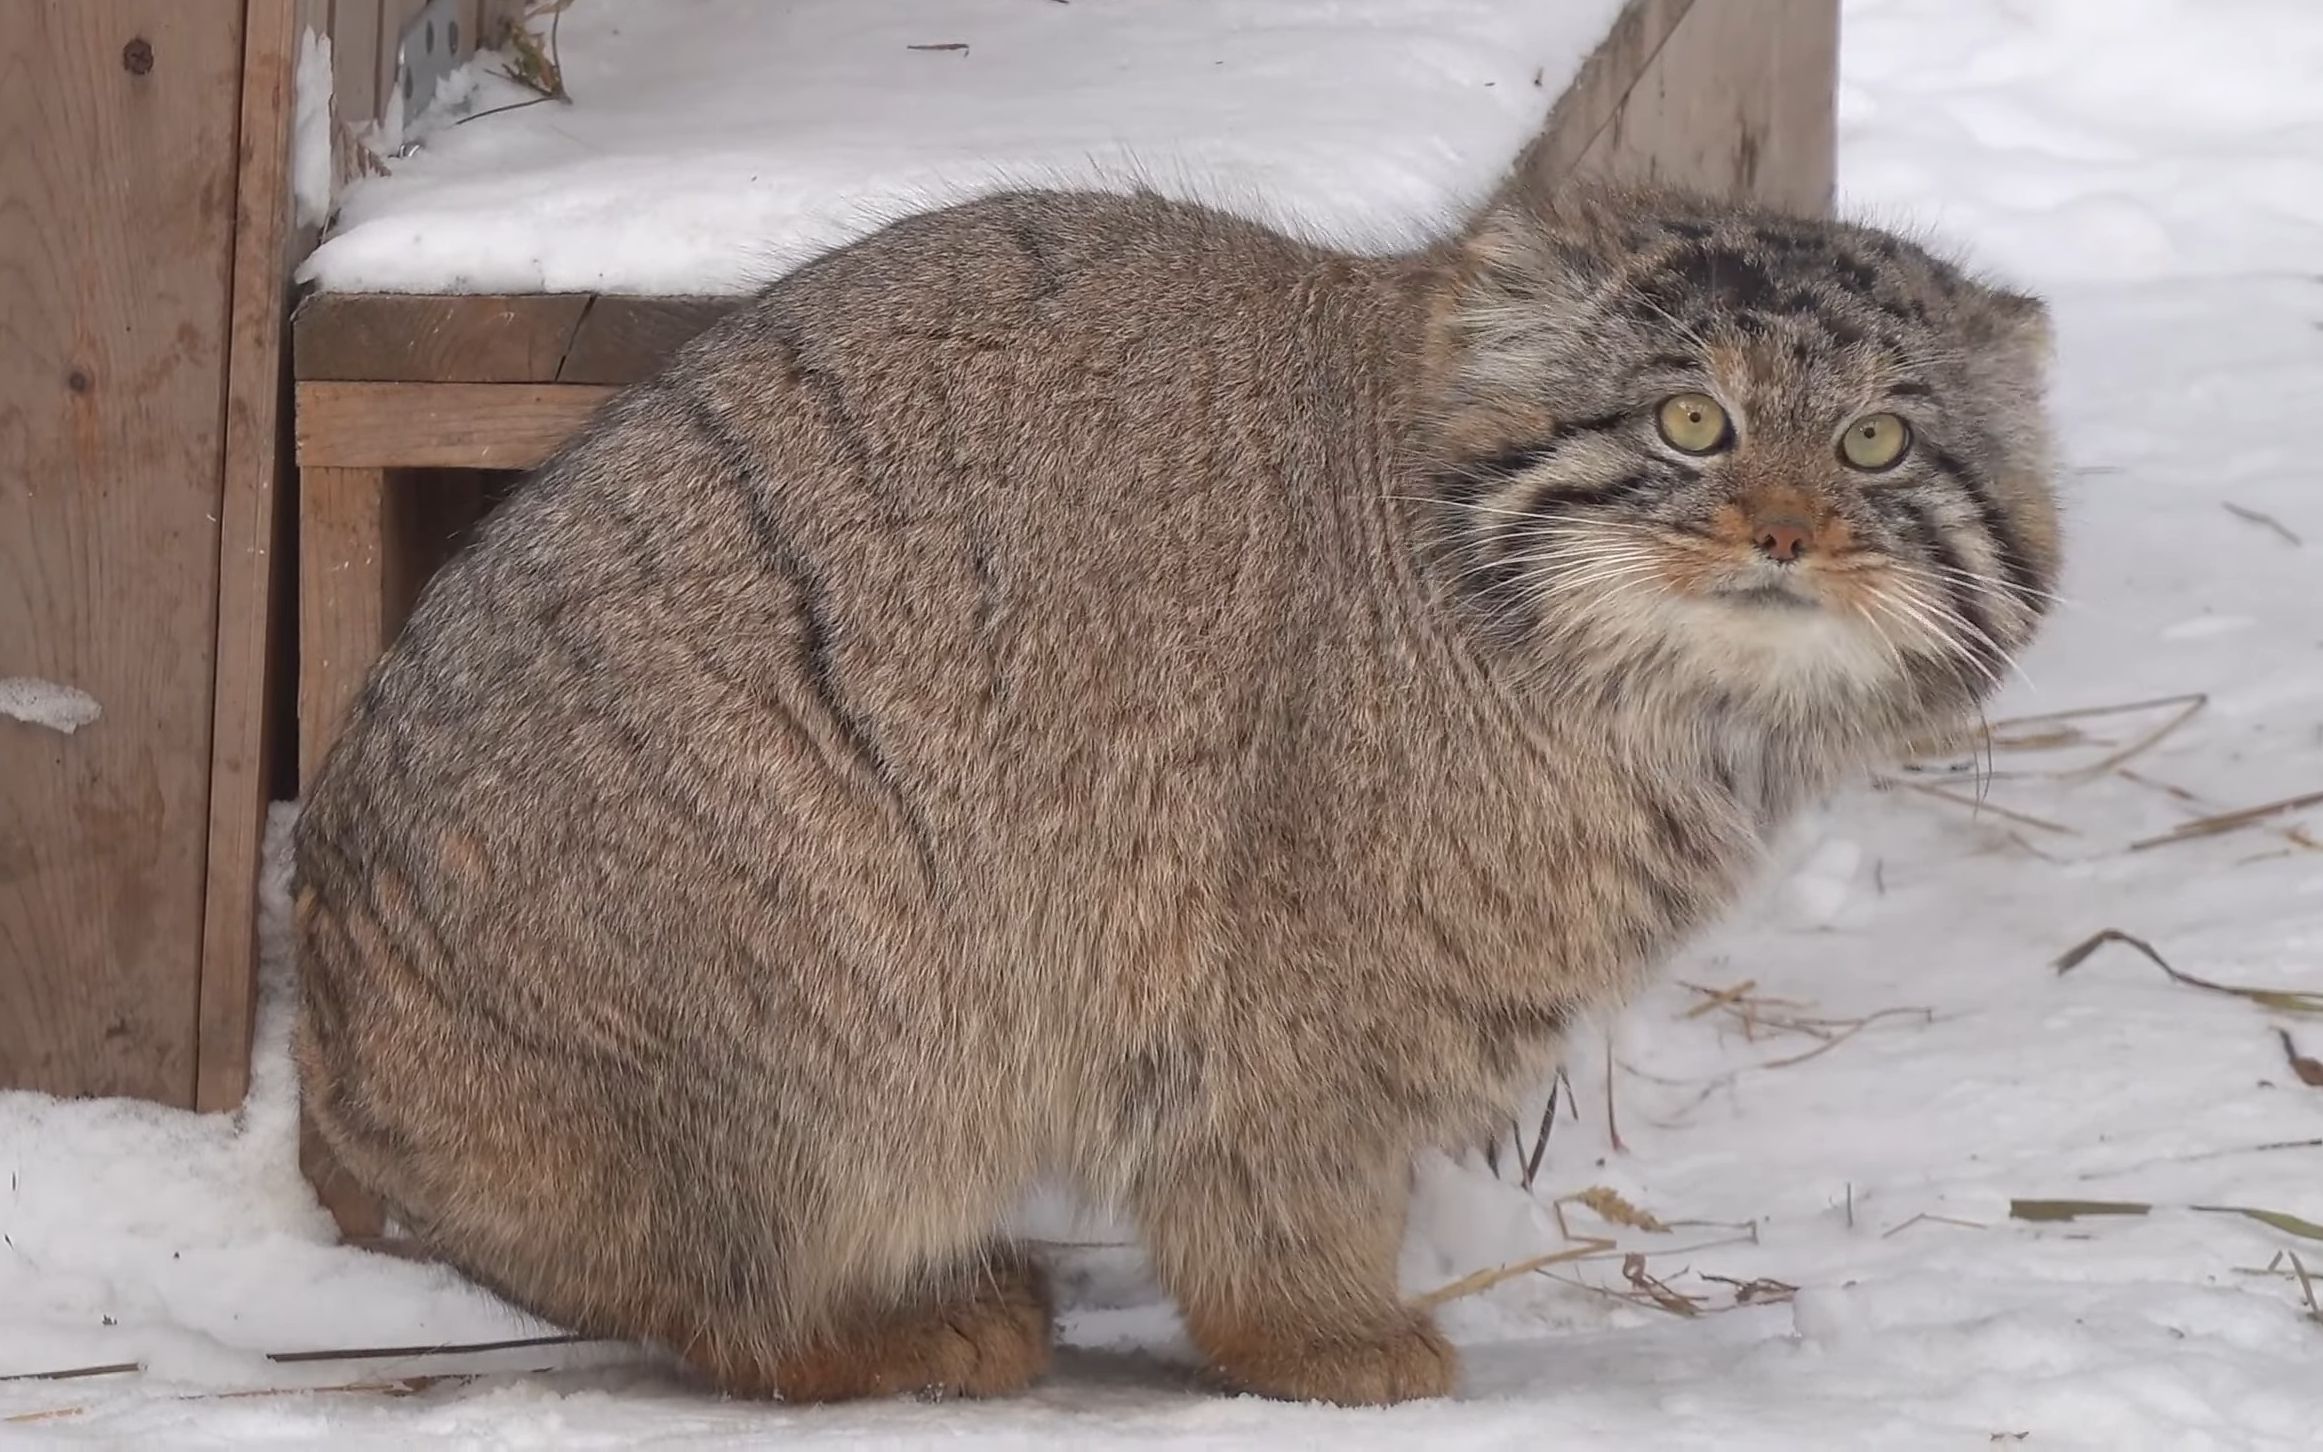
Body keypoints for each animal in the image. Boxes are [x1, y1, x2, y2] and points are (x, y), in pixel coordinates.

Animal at [290, 175, 2053, 1403]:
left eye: (1878, 444)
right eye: (1694, 421)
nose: (1784, 533)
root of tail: (337, 1048)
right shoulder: (1305, 957)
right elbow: (1280, 1161)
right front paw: (1320, 1338)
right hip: (838, 996)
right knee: (724, 1301)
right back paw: (900, 1321)